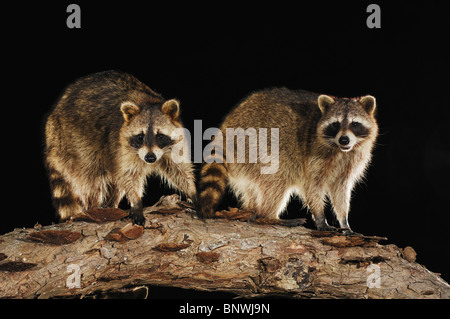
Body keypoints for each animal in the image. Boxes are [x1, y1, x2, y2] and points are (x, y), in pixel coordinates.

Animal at [44, 70, 197, 225]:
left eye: (160, 136)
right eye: (140, 137)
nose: (150, 158)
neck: (148, 102)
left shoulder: (175, 146)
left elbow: (180, 171)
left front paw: (192, 192)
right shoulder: (121, 147)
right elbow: (129, 176)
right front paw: (136, 203)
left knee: (115, 183)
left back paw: (111, 205)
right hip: (73, 141)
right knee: (91, 176)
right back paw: (93, 208)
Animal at [199, 87, 378, 232]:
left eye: (355, 124)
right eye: (336, 124)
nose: (344, 140)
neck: (341, 150)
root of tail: (225, 130)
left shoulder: (352, 161)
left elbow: (341, 190)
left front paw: (344, 221)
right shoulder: (313, 154)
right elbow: (312, 186)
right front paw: (321, 217)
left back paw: (252, 211)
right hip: (254, 145)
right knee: (278, 177)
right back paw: (268, 215)